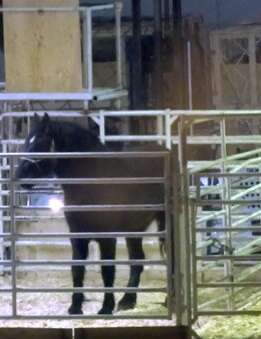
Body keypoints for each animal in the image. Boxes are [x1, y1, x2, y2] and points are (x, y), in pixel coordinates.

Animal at [16, 113, 167, 316]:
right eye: (27, 140)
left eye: (40, 142)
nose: (20, 175)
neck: (92, 181)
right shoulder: (77, 235)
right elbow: (77, 269)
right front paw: (75, 307)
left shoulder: (107, 237)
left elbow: (107, 270)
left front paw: (106, 307)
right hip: (134, 229)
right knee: (137, 260)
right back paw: (127, 301)